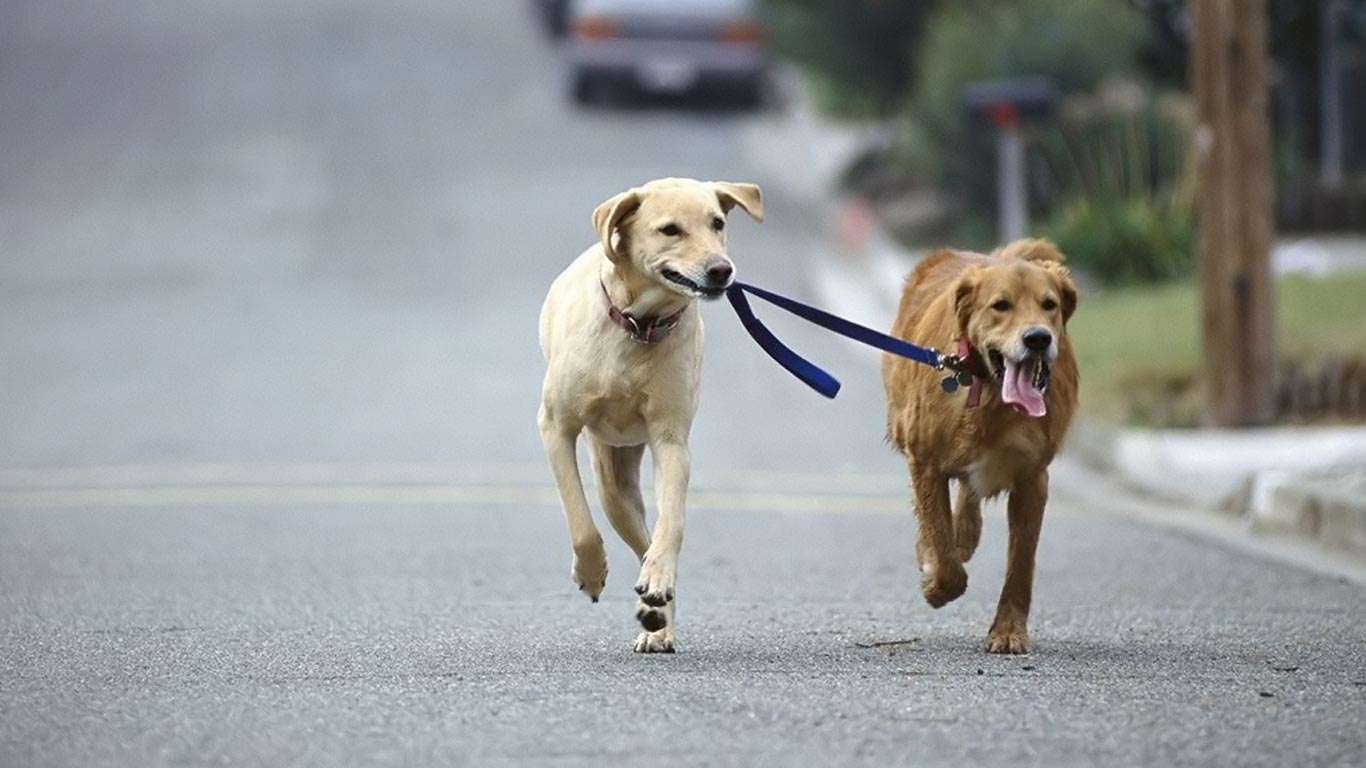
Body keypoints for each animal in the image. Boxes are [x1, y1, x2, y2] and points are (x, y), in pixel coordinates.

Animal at [538, 176, 764, 647]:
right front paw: (591, 573)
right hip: (612, 484)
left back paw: (656, 612)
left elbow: (671, 523)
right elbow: (579, 518)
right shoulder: (555, 427)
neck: (638, 327)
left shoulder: (671, 439)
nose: (721, 270)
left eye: (717, 223)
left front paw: (658, 583)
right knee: (625, 527)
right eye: (670, 230)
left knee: (649, 542)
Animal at [879, 237, 1081, 650]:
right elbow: (942, 548)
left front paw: (1008, 630)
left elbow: (1021, 565)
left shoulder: (1033, 478)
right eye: (1001, 305)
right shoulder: (924, 461)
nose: (1038, 338)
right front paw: (936, 582)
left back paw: (967, 534)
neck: (991, 397)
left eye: (1049, 304)